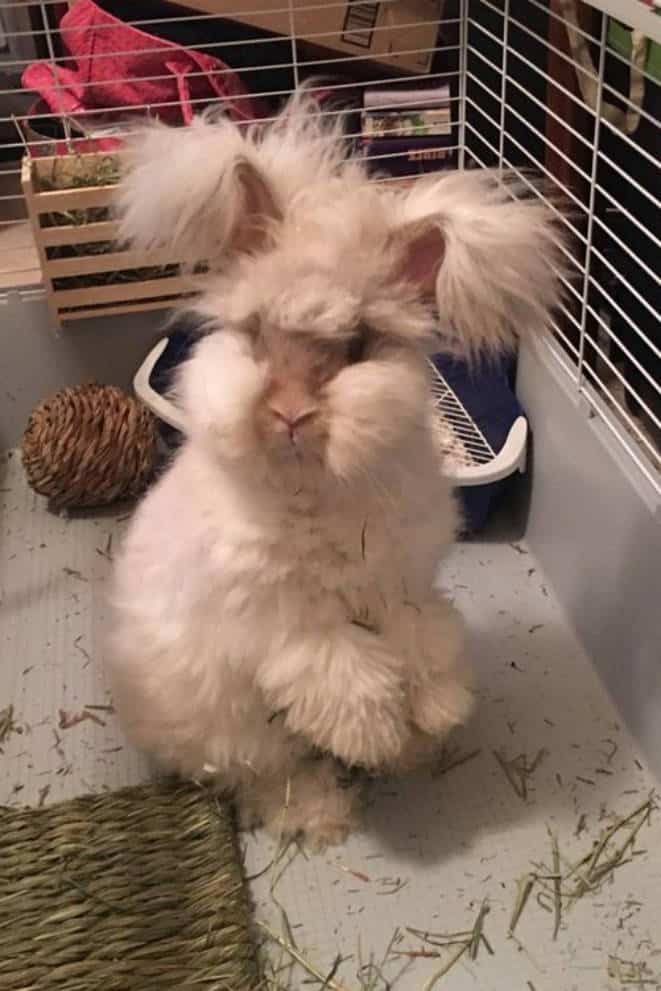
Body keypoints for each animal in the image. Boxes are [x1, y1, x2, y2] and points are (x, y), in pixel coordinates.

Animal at [108, 95, 564, 844]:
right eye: (257, 336)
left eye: (355, 348)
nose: (292, 415)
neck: (318, 489)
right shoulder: (289, 626)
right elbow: (345, 675)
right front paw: (377, 735)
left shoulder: (403, 586)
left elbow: (427, 641)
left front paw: (437, 711)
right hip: (234, 732)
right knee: (270, 774)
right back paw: (325, 815)